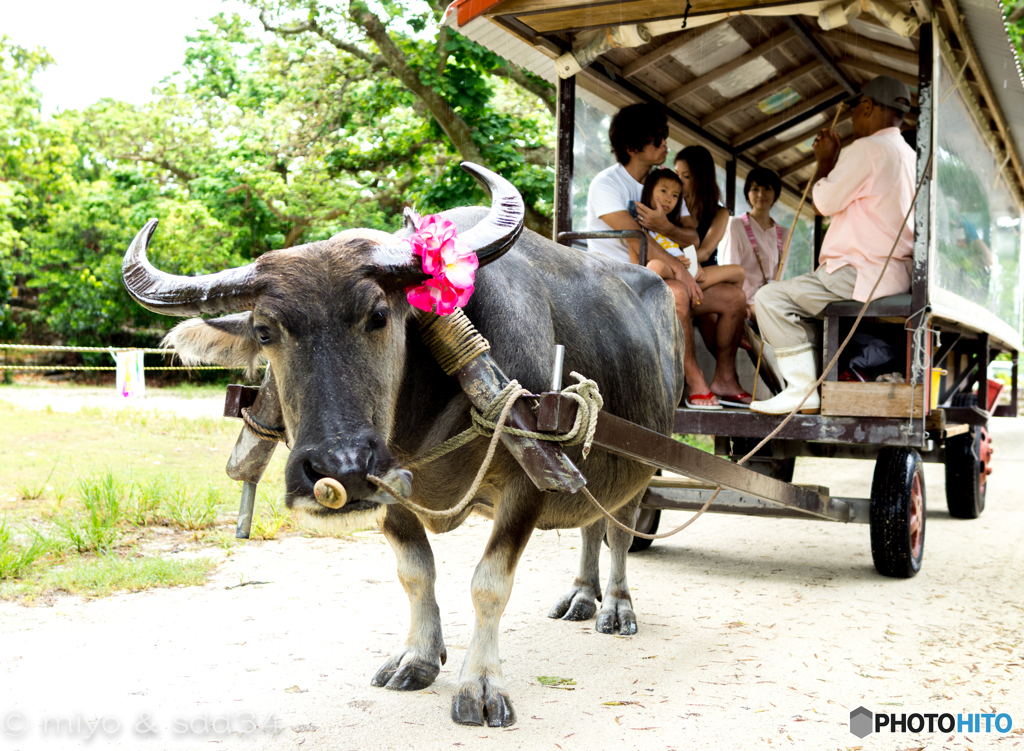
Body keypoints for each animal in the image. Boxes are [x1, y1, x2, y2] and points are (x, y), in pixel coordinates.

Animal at [119, 163, 684, 725]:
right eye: (263, 331)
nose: (340, 470)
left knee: (619, 529)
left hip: (641, 463)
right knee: (592, 522)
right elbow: (416, 572)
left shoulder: (528, 482)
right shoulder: (389, 489)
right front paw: (418, 657)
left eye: (379, 315)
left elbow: (490, 582)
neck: (423, 414)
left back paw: (616, 606)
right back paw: (582, 597)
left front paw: (481, 685)